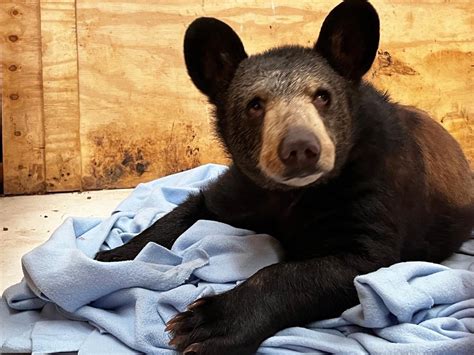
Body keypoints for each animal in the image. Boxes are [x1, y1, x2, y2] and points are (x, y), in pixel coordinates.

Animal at [94, 1, 472, 354]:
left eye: (323, 96)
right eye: (255, 105)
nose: (301, 147)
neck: (291, 193)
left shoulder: (373, 191)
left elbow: (337, 267)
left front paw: (209, 322)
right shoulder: (244, 186)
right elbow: (189, 210)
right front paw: (109, 259)